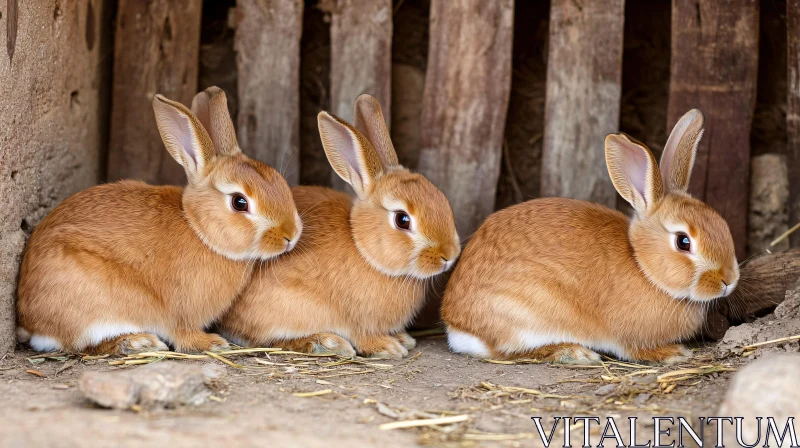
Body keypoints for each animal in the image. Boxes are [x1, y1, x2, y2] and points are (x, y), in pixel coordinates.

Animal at [17, 86, 302, 354]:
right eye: (239, 202)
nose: (291, 236)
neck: (199, 229)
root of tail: (28, 320)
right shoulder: (180, 312)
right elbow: (182, 333)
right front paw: (211, 343)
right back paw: (138, 342)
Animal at [219, 95, 460, 360]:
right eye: (402, 220)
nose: (449, 256)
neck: (364, 249)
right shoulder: (357, 319)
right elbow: (362, 336)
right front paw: (389, 347)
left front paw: (402, 339)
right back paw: (326, 343)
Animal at [440, 110, 740, 366]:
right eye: (683, 242)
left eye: (721, 223)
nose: (728, 281)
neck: (643, 267)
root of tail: (456, 323)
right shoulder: (628, 336)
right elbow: (636, 350)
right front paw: (674, 353)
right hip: (526, 313)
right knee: (508, 351)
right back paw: (573, 353)